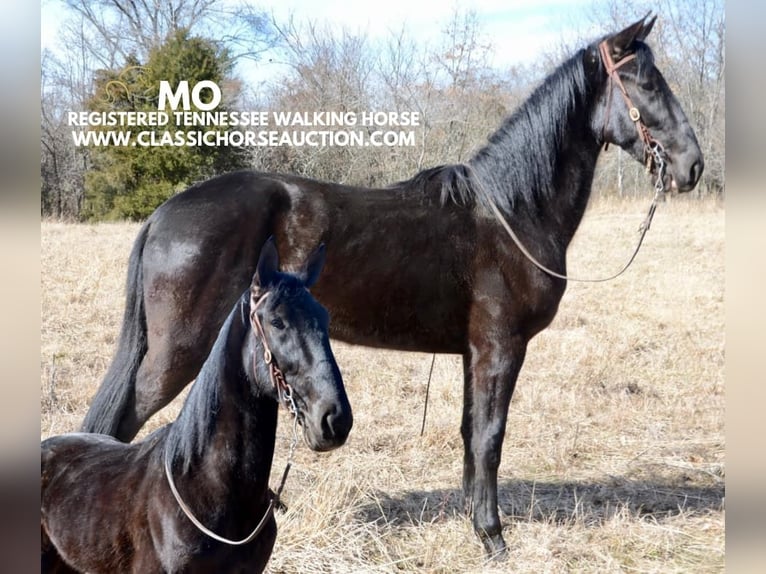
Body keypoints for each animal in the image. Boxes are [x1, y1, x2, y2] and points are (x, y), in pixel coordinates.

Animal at [82, 16, 704, 560]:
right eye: (646, 82)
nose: (693, 166)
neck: (511, 212)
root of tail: (164, 213)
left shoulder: (474, 353)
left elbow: (470, 435)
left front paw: (476, 524)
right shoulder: (500, 348)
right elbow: (490, 438)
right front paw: (493, 538)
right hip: (177, 353)